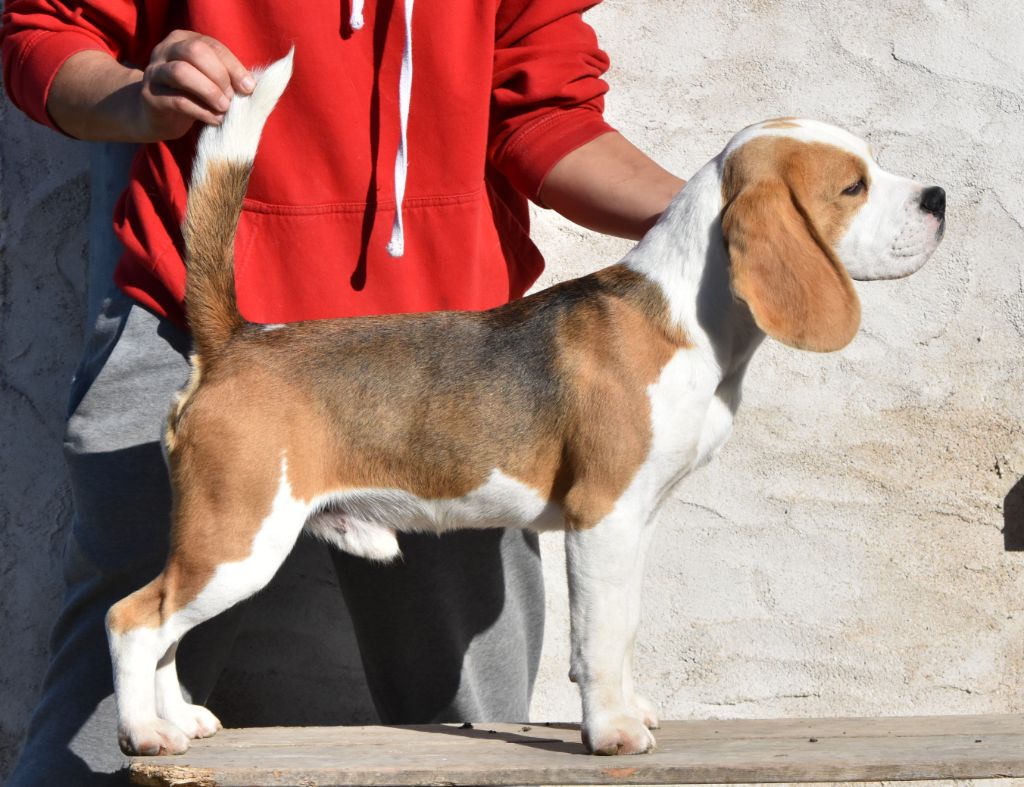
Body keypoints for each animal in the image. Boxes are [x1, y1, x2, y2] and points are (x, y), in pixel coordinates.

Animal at [103, 49, 942, 753]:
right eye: (854, 186)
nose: (939, 195)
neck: (684, 312)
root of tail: (236, 338)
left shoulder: (633, 521)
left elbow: (623, 629)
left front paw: (629, 710)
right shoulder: (602, 516)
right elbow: (598, 640)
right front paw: (612, 732)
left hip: (223, 544)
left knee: (167, 631)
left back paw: (181, 717)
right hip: (238, 536)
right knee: (135, 618)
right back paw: (145, 732)